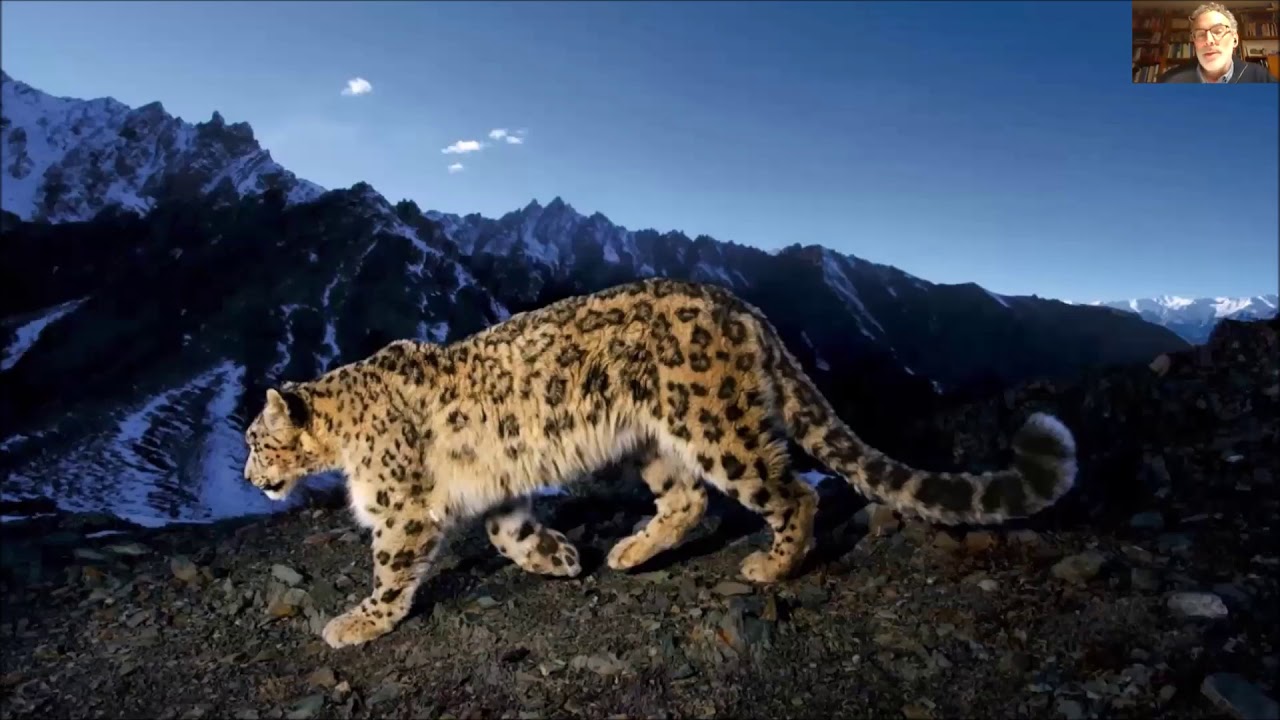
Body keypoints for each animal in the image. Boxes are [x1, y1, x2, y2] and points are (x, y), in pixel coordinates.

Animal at [242, 277, 1078, 649]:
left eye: (253, 439)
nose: (249, 477)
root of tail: (745, 309)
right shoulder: (497, 490)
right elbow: (509, 533)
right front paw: (559, 558)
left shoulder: (401, 508)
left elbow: (391, 568)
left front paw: (356, 622)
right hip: (655, 443)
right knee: (689, 501)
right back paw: (627, 551)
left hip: (715, 425)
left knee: (791, 491)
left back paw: (770, 566)